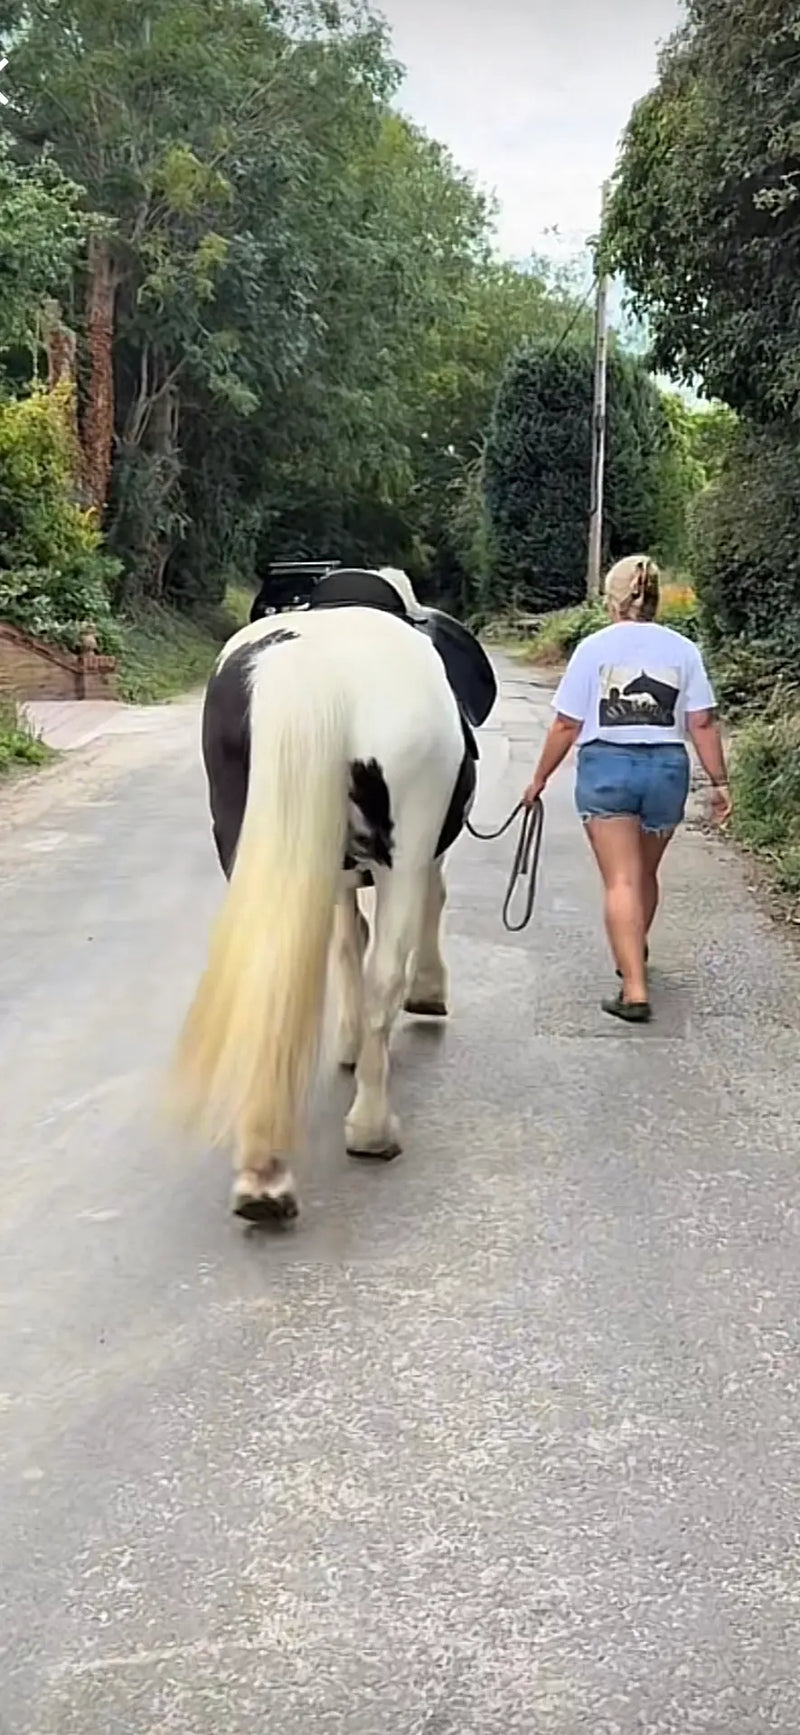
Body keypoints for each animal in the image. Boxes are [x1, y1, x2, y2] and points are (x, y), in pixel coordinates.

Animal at [167, 566, 487, 1225]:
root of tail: (306, 668)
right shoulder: (419, 854)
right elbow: (416, 917)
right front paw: (426, 995)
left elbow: (343, 942)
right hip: (402, 852)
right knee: (385, 970)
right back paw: (371, 1129)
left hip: (253, 840)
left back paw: (263, 1175)